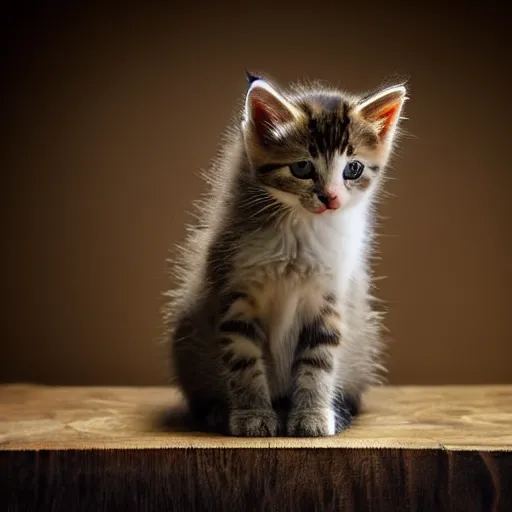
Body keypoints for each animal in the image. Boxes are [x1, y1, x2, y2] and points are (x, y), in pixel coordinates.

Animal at [164, 72, 408, 438]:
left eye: (352, 169)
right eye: (302, 167)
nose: (330, 198)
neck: (299, 230)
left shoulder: (329, 298)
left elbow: (319, 361)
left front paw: (312, 416)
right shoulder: (235, 293)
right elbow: (243, 361)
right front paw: (252, 415)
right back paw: (218, 412)